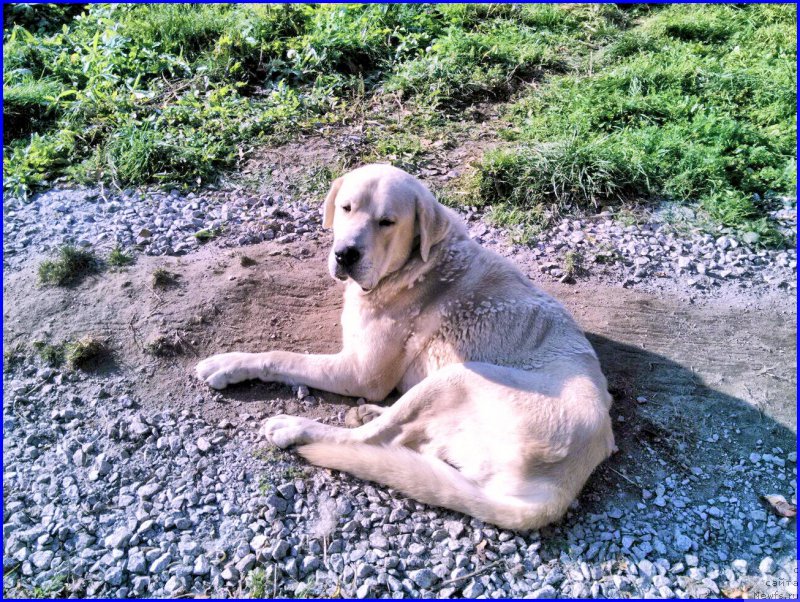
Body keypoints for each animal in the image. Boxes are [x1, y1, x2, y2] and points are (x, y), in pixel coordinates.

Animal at [197, 164, 616, 528]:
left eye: (387, 222)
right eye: (346, 208)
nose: (345, 253)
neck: (413, 267)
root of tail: (561, 488)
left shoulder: (360, 373)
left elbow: (281, 356)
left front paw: (228, 363)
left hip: (459, 376)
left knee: (375, 438)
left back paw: (294, 427)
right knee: (401, 436)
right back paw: (366, 414)